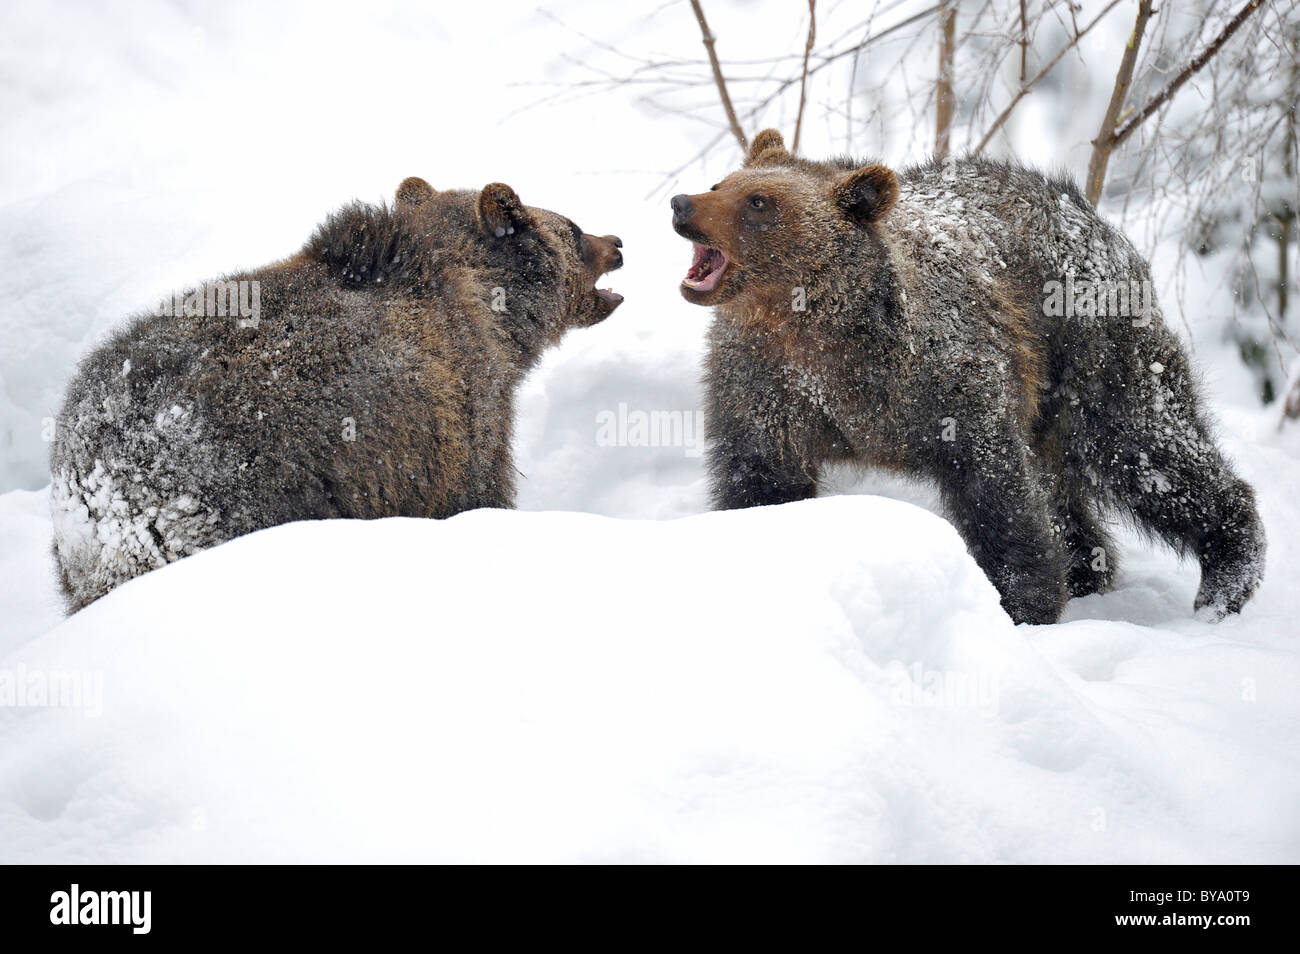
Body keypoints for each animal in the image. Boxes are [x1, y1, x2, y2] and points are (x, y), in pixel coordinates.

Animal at [676, 130, 1263, 631]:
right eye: (721, 184)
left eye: (759, 202)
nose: (682, 204)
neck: (816, 337)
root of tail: (1089, 212)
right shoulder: (764, 387)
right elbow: (762, 480)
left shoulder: (950, 381)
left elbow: (997, 494)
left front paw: (1023, 603)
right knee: (1069, 488)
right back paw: (1086, 570)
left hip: (1093, 353)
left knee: (1148, 452)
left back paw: (1226, 575)